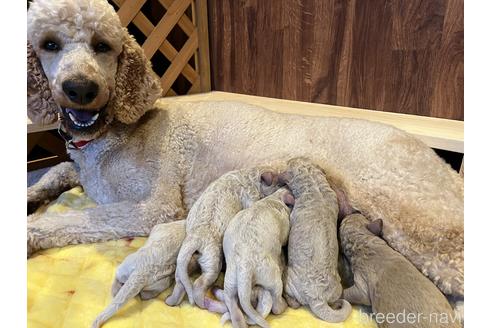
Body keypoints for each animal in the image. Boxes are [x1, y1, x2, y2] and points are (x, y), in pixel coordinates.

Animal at [165, 167, 280, 310]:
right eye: (279, 182)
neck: (249, 175)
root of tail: (196, 239)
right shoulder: (250, 197)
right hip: (213, 262)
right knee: (199, 284)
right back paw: (205, 303)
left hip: (185, 261)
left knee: (181, 281)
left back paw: (170, 301)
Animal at [218, 187, 292, 328]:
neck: (272, 199)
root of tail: (245, 266)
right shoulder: (285, 225)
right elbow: (285, 237)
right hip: (271, 276)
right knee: (276, 304)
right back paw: (284, 305)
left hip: (230, 280)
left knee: (233, 308)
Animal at [278, 157, 352, 322]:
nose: (289, 159)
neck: (314, 184)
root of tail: (318, 298)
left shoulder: (294, 212)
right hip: (337, 289)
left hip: (289, 279)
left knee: (293, 301)